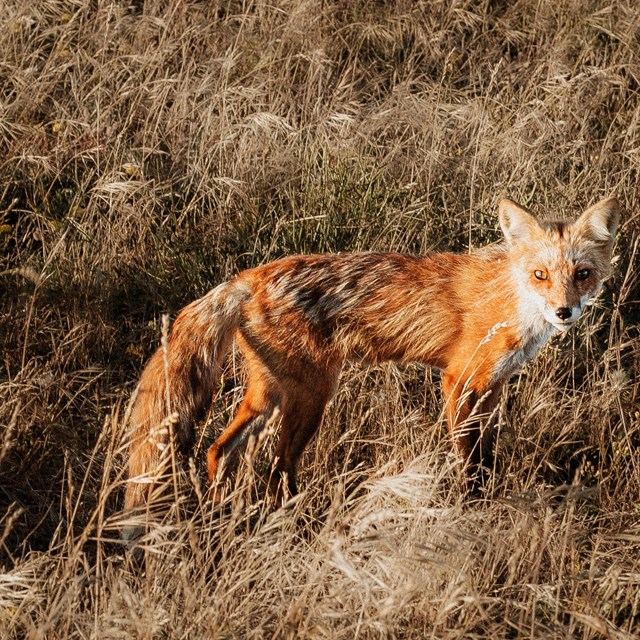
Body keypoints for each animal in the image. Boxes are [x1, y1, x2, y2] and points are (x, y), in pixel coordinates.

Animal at [124, 199, 620, 524]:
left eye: (582, 275)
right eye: (540, 275)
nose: (565, 312)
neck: (510, 300)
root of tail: (249, 276)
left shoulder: (494, 387)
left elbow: (487, 456)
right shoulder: (459, 381)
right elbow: (468, 460)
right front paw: (471, 509)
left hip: (270, 394)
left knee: (218, 449)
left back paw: (220, 513)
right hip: (312, 397)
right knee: (278, 468)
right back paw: (291, 522)